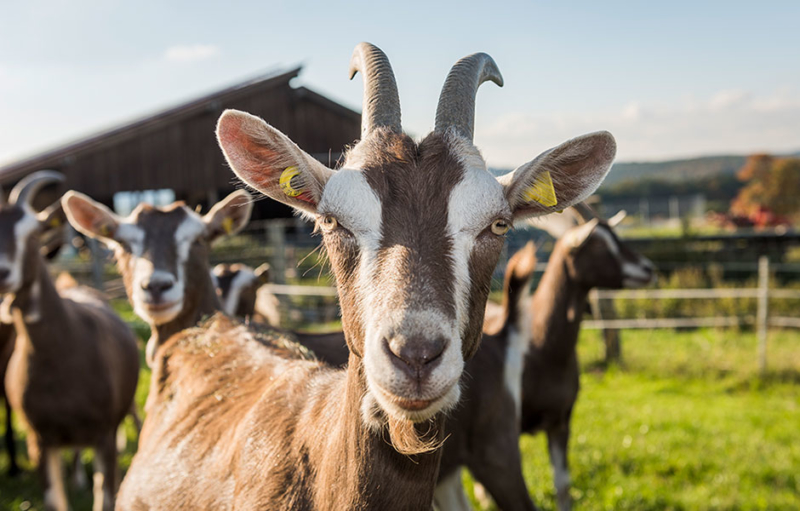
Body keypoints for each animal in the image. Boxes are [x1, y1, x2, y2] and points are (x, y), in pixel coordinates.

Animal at [0, 173, 139, 511]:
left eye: (33, 234)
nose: (2, 274)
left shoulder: (104, 435)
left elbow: (106, 496)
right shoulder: (39, 440)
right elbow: (54, 499)